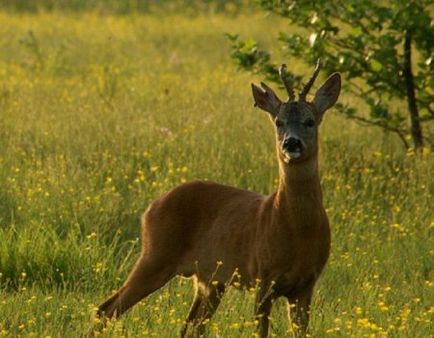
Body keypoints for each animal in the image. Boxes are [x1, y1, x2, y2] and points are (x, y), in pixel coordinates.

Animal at [96, 61, 340, 338]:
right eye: (279, 121)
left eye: (310, 121)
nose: (291, 143)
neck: (297, 229)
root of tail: (150, 208)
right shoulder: (263, 276)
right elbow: (261, 332)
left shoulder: (306, 284)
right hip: (156, 255)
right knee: (105, 309)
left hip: (209, 280)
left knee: (188, 327)